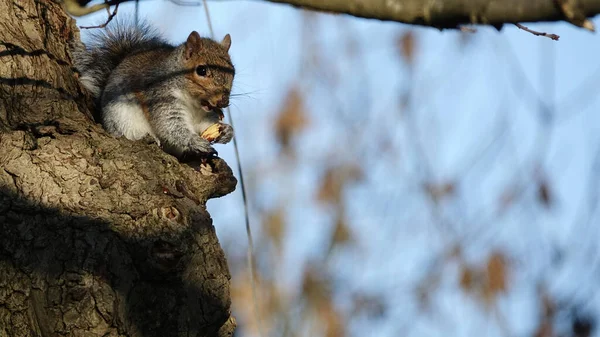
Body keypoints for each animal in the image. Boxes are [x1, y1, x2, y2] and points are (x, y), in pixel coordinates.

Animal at [72, 22, 234, 158]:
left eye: (233, 71)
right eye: (201, 70)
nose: (224, 101)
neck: (193, 102)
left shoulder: (203, 114)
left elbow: (205, 124)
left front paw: (227, 131)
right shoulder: (161, 96)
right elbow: (170, 125)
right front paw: (195, 142)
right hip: (122, 118)